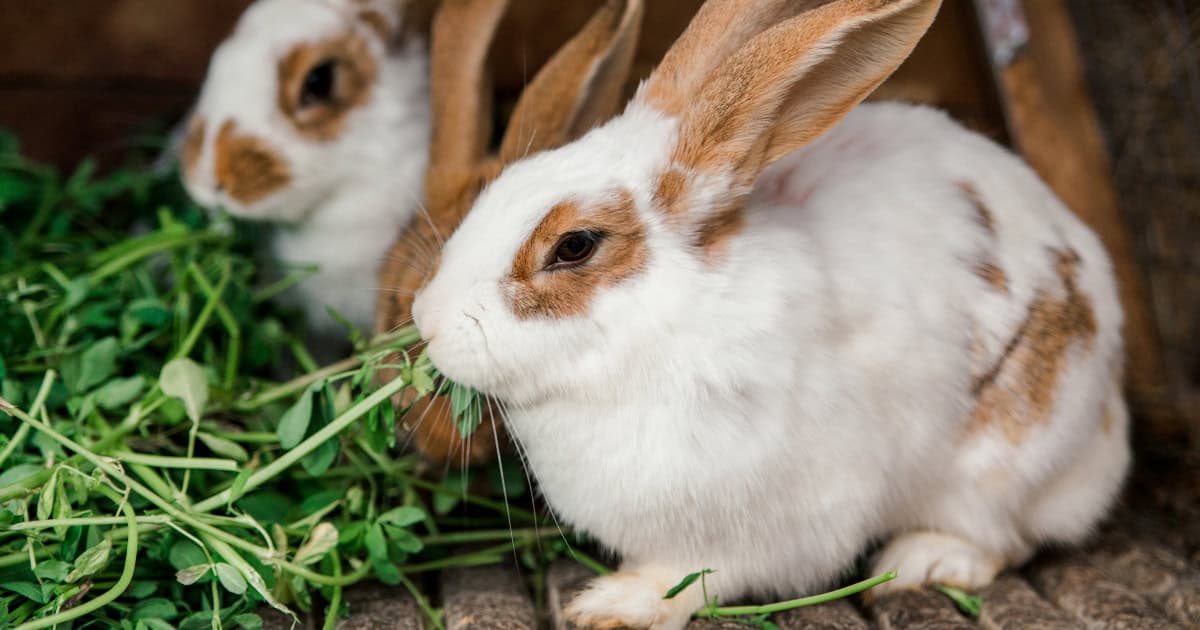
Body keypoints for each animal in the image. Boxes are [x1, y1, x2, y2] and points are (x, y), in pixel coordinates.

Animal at [408, 0, 1131, 627]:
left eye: (574, 246)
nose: (427, 321)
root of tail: (1111, 426)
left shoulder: (780, 520)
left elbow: (699, 576)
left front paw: (616, 604)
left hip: (1004, 459)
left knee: (1005, 535)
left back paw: (924, 560)